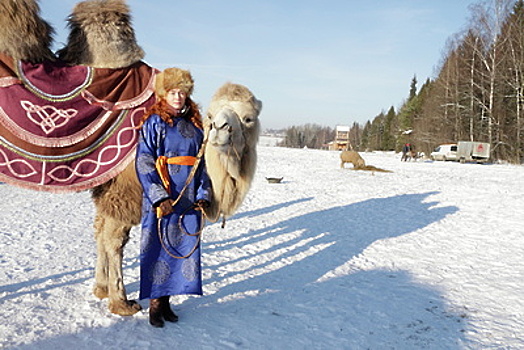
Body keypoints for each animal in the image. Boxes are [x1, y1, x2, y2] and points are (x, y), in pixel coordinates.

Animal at [0, 0, 260, 316]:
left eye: (248, 118)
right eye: (210, 116)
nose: (221, 128)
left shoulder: (106, 189)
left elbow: (99, 230)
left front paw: (100, 288)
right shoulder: (126, 189)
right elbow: (114, 240)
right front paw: (120, 302)